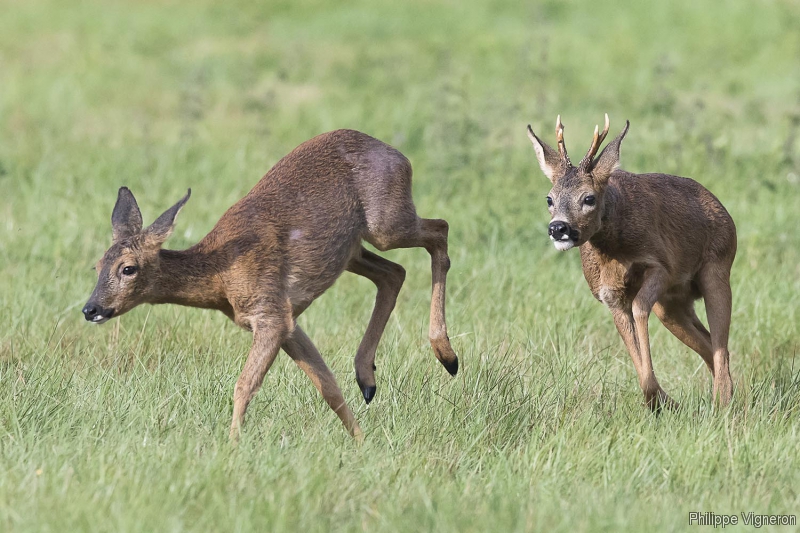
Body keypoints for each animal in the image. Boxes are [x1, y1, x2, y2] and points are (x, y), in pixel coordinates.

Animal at [82, 127, 460, 438]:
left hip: (386, 224)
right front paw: (361, 443)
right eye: (97, 265)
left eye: (128, 268)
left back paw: (448, 356)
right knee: (394, 271)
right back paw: (368, 379)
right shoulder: (288, 320)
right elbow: (327, 384)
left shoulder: (270, 313)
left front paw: (232, 447)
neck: (222, 277)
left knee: (440, 229)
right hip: (352, 250)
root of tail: (400, 156)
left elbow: (244, 385)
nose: (91, 308)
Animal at [524, 114, 736, 410]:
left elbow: (639, 308)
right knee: (709, 343)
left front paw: (660, 399)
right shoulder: (608, 295)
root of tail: (722, 209)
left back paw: (723, 404)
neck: (614, 252)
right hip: (671, 305)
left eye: (588, 197)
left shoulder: (662, 266)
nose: (558, 228)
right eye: (549, 198)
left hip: (717, 267)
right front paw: (661, 401)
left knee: (721, 345)